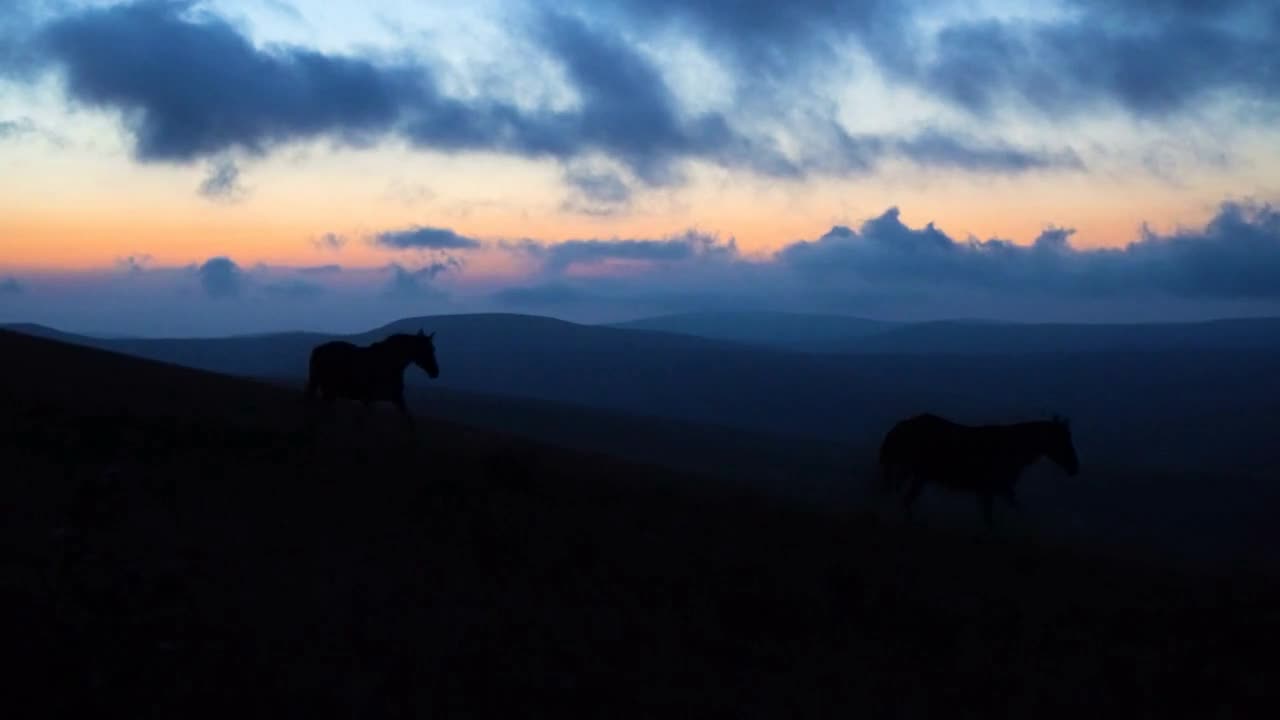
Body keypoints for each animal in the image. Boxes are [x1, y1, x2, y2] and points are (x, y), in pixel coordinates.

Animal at [304, 327, 440, 427]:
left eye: (433, 348)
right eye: (427, 349)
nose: (435, 372)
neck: (390, 363)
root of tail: (319, 349)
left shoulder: (396, 398)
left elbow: (410, 420)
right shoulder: (371, 399)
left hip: (329, 391)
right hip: (329, 390)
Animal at [875, 412, 1075, 525]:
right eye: (1062, 440)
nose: (1075, 467)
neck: (1012, 446)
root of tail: (899, 427)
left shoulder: (996, 488)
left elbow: (1005, 510)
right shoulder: (994, 487)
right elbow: (996, 516)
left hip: (914, 473)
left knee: (902, 496)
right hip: (909, 471)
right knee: (899, 495)